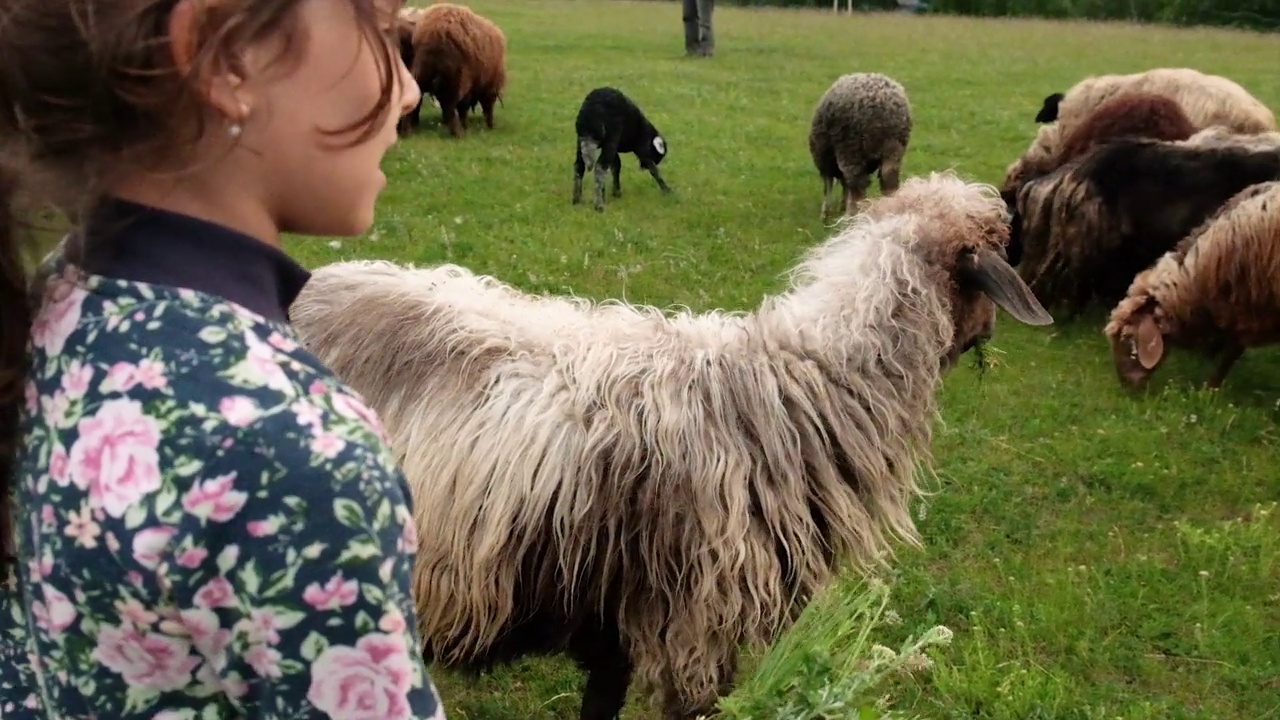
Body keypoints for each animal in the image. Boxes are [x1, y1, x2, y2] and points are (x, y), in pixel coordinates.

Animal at [404, 2, 504, 137]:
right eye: (493, 98)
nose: (491, 125)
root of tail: (434, 30)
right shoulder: (469, 83)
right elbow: (463, 106)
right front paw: (465, 125)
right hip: (454, 78)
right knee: (449, 106)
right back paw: (458, 133)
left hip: (422, 71)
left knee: (417, 97)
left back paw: (407, 130)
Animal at [808, 72, 911, 220]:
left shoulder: (824, 159)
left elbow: (828, 186)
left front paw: (825, 214)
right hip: (894, 149)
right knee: (888, 180)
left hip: (851, 148)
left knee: (857, 185)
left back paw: (851, 215)